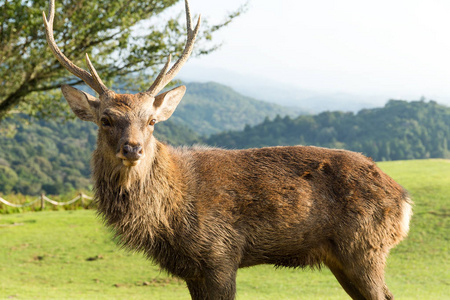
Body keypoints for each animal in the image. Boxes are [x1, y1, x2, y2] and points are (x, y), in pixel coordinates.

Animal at [44, 1, 414, 298]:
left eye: (151, 121)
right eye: (105, 119)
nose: (133, 149)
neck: (170, 218)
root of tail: (405, 199)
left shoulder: (220, 254)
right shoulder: (192, 269)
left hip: (365, 247)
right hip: (345, 256)